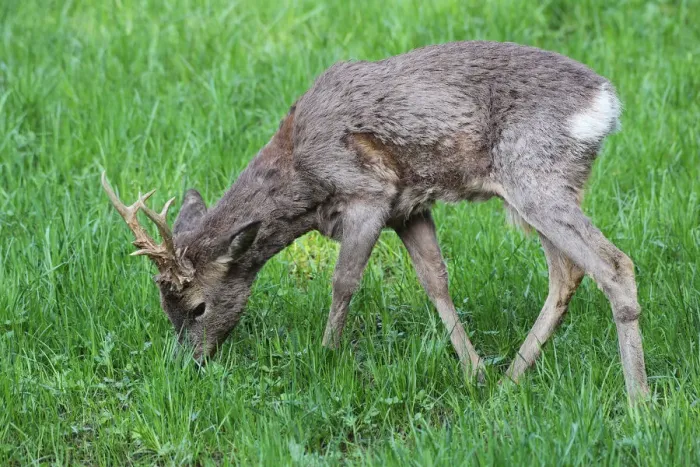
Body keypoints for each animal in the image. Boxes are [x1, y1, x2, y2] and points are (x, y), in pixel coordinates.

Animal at [102, 41, 650, 402]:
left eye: (197, 306)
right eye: (165, 307)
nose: (189, 364)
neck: (301, 172)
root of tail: (606, 103)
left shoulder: (368, 195)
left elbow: (343, 281)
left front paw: (326, 358)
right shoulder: (410, 206)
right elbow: (435, 281)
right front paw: (474, 372)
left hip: (536, 176)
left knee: (613, 265)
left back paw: (639, 402)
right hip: (537, 191)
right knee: (568, 273)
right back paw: (510, 382)